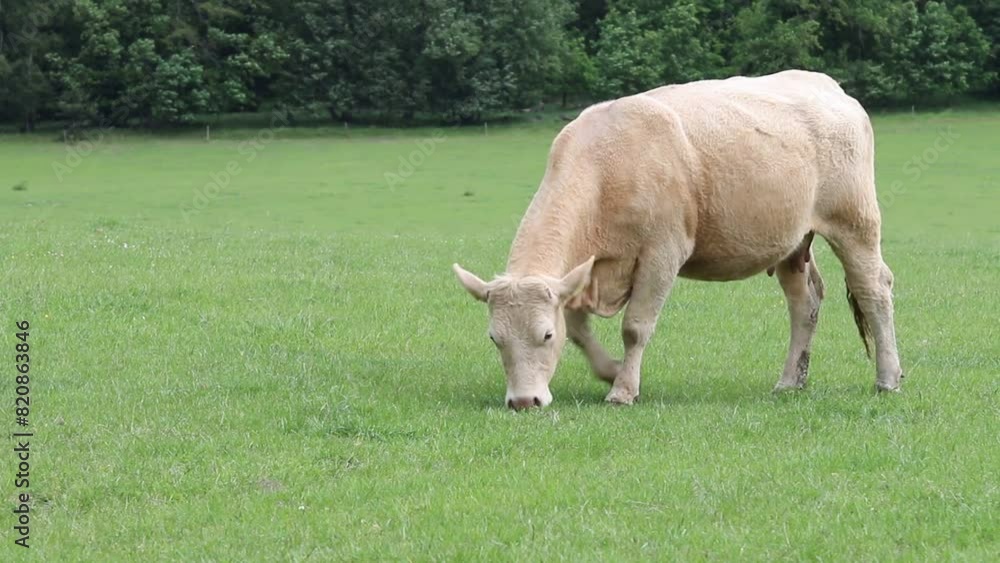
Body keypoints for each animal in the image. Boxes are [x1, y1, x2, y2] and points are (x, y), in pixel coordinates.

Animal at [453, 70, 902, 410]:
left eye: (545, 335)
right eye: (494, 338)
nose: (523, 402)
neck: (607, 166)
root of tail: (829, 86)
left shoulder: (662, 253)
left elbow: (635, 327)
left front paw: (623, 389)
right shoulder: (584, 272)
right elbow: (579, 330)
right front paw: (611, 371)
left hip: (855, 222)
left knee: (873, 290)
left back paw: (888, 378)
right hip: (793, 242)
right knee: (804, 303)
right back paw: (791, 380)